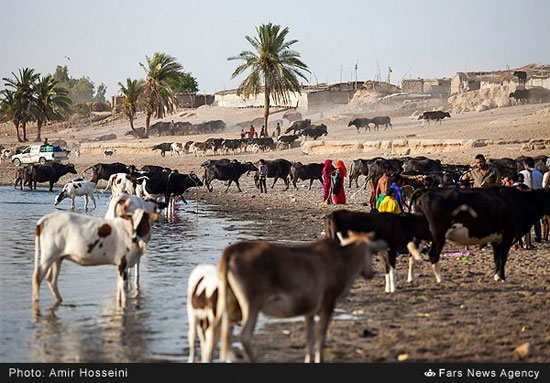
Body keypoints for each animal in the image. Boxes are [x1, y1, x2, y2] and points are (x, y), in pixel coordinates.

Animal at [216, 231, 384, 364]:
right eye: (371, 252)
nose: (371, 273)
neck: (342, 260)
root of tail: (230, 252)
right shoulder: (328, 302)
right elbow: (321, 335)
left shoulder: (309, 309)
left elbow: (309, 337)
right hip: (251, 303)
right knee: (244, 336)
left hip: (231, 302)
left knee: (224, 330)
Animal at [412, 188, 550, 284]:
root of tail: (426, 191)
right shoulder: (508, 236)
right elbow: (502, 258)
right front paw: (502, 278)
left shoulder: (497, 239)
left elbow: (496, 258)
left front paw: (496, 276)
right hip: (438, 235)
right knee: (433, 254)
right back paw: (440, 279)